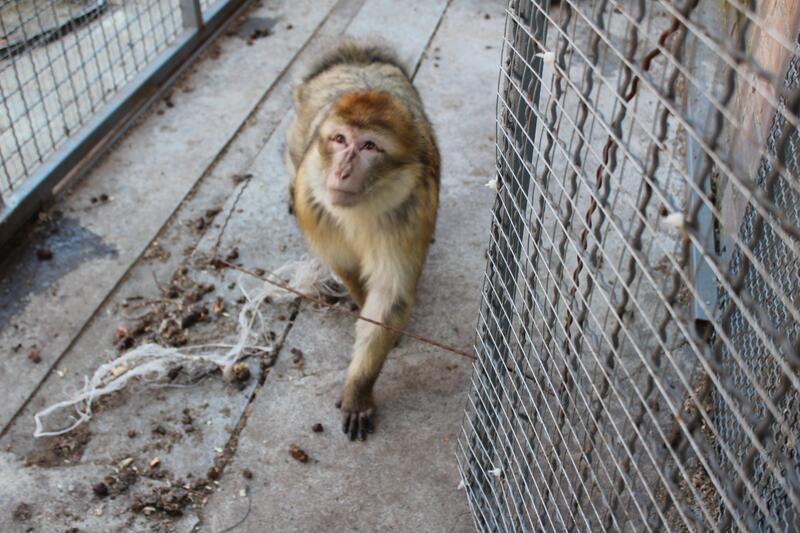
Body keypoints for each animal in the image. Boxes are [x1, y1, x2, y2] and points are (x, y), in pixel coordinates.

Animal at [285, 41, 440, 441]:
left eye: (369, 146)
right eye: (339, 140)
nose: (342, 171)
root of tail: (358, 58)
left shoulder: (411, 208)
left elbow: (391, 294)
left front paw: (359, 389)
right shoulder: (313, 202)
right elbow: (346, 267)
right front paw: (359, 298)